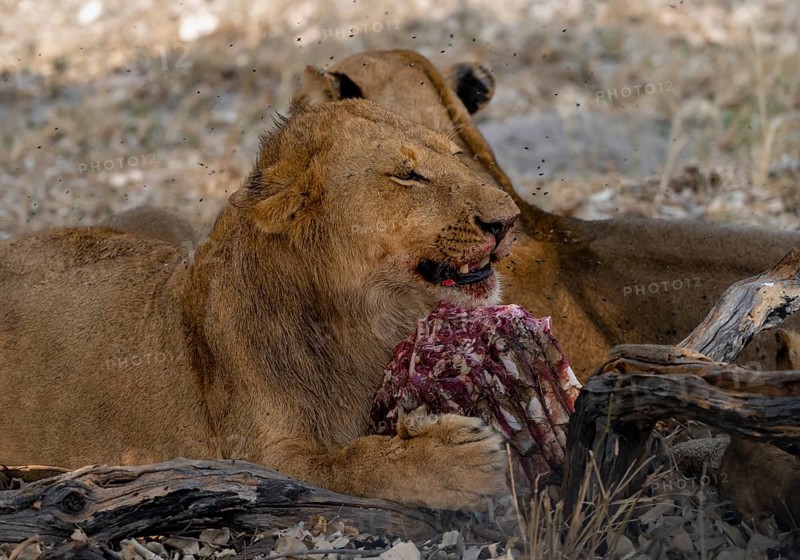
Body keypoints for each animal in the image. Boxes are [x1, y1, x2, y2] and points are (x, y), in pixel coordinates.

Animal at [0, 99, 519, 510]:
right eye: (408, 175)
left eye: (455, 155)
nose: (509, 218)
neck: (365, 318)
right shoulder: (252, 462)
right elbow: (353, 464)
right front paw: (457, 459)